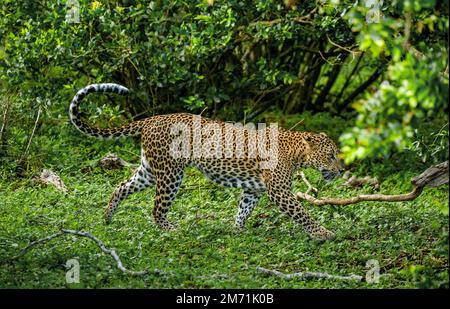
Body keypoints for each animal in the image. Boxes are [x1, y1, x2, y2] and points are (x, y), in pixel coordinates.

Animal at [70, 83, 342, 239]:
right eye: (330, 155)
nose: (340, 171)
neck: (296, 152)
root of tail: (151, 119)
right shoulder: (280, 192)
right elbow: (302, 213)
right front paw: (324, 233)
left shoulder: (254, 189)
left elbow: (244, 209)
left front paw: (238, 230)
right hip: (171, 173)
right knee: (156, 208)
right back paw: (172, 231)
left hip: (148, 170)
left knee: (121, 187)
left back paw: (107, 219)